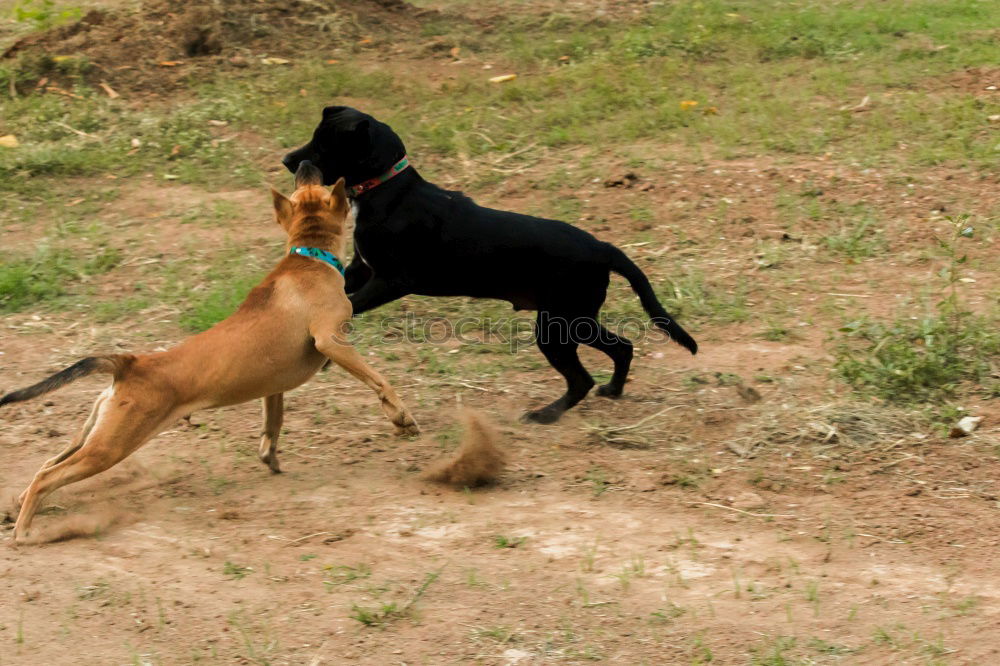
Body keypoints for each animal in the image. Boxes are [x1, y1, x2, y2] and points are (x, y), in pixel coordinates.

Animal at [1, 162, 420, 544]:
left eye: (305, 185)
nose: (304, 163)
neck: (308, 255)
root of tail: (129, 364)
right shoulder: (331, 340)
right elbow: (379, 381)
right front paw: (401, 417)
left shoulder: (273, 386)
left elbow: (273, 424)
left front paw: (270, 457)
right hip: (109, 447)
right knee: (47, 476)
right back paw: (26, 531)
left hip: (92, 436)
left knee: (46, 465)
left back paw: (20, 508)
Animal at [284, 106, 696, 422]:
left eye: (322, 144)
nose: (287, 160)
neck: (388, 189)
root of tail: (602, 247)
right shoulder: (363, 269)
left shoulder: (392, 280)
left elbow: (350, 306)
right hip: (574, 319)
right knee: (622, 347)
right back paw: (612, 391)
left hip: (560, 324)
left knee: (584, 378)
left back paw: (546, 414)